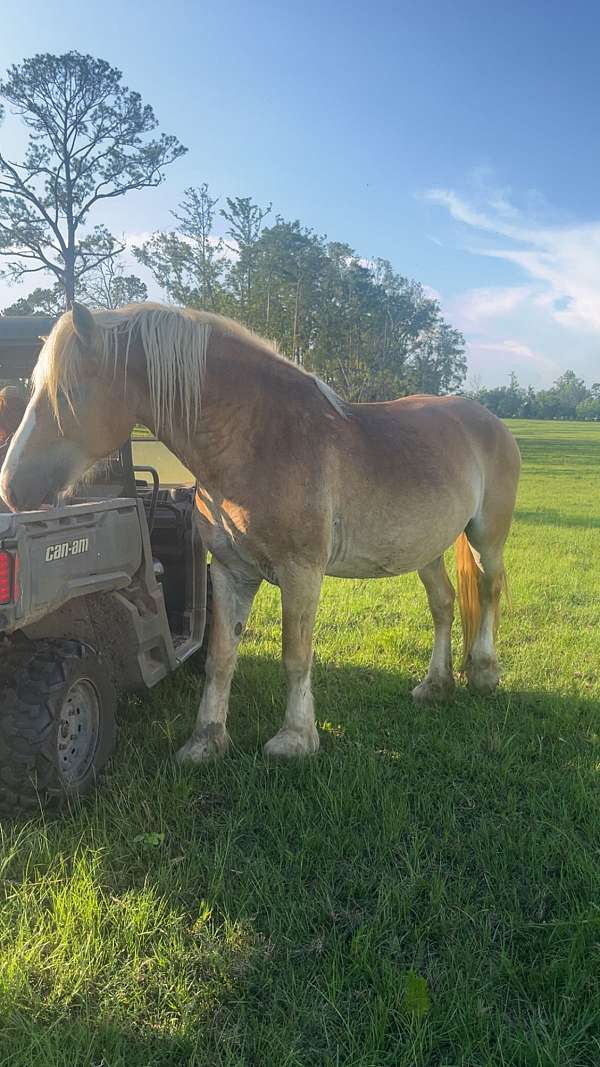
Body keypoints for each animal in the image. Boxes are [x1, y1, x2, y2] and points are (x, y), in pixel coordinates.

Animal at [0, 302, 521, 762]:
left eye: (67, 391)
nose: (12, 486)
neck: (261, 440)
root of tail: (487, 420)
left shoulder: (302, 573)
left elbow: (296, 655)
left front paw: (295, 739)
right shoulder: (231, 573)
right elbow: (219, 658)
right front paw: (206, 741)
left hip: (487, 536)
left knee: (491, 586)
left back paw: (485, 673)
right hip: (425, 548)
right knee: (444, 604)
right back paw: (435, 684)